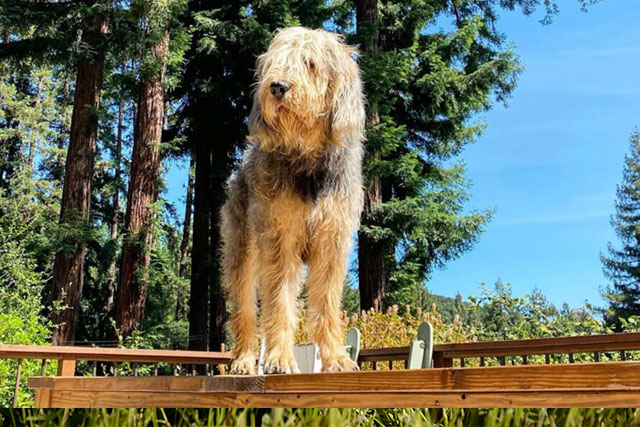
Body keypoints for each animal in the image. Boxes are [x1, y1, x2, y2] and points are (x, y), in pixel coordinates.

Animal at [220, 26, 364, 374]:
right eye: (276, 61)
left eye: (309, 63)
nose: (277, 87)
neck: (308, 157)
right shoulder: (280, 240)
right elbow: (279, 303)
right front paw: (279, 359)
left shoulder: (331, 242)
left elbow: (326, 304)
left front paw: (336, 357)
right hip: (242, 251)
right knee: (244, 309)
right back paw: (244, 360)